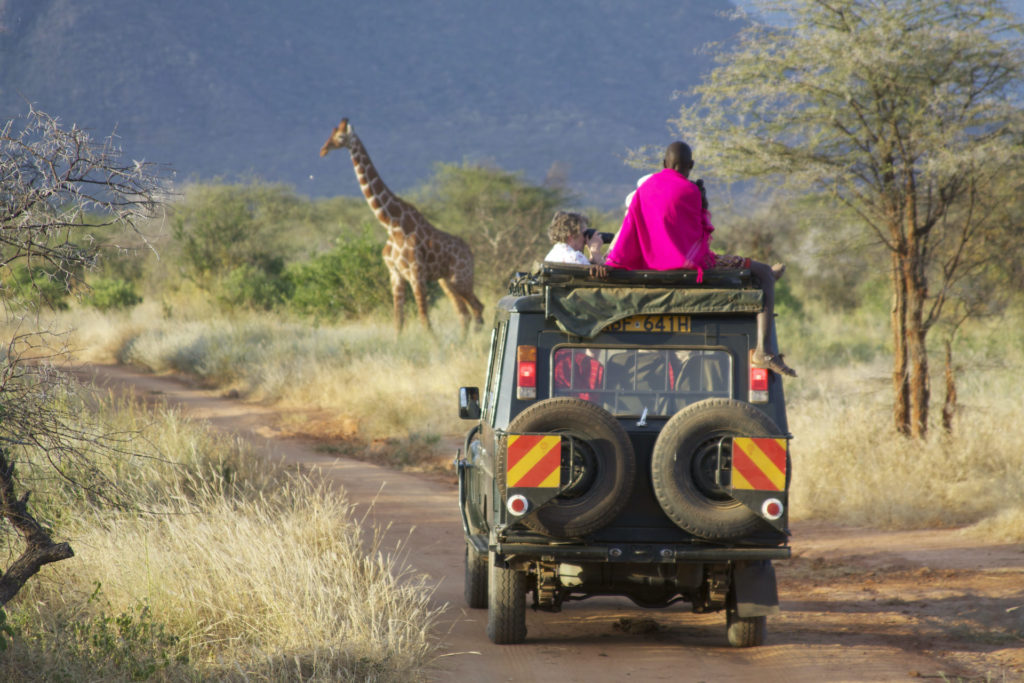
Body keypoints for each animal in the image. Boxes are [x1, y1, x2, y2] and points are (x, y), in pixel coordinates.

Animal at [320, 118, 484, 333]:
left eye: (340, 136)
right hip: (447, 282)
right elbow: (398, 321)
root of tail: (471, 253)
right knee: (464, 313)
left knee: (478, 308)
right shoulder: (395, 274)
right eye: (330, 133)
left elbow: (424, 320)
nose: (323, 150)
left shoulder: (416, 274)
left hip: (461, 278)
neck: (392, 224)